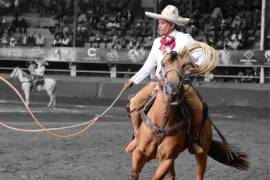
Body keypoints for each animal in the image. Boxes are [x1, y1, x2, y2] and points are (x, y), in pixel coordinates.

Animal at [128, 48, 249, 179]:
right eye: (163, 64)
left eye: (183, 65)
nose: (172, 87)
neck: (162, 123)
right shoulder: (140, 151)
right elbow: (133, 173)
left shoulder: (167, 159)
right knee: (172, 176)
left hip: (202, 152)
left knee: (199, 173)